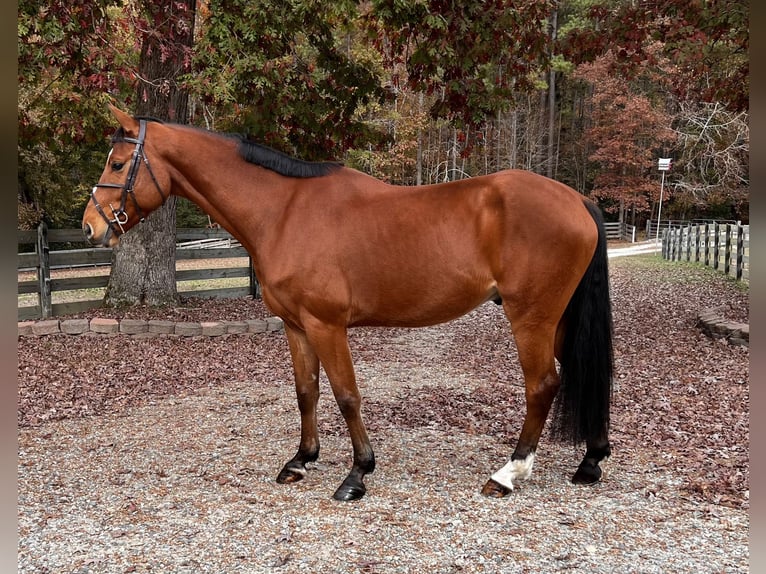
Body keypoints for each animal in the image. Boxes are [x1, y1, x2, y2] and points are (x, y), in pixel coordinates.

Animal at [81, 106, 616, 502]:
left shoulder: (326, 325)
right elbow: (307, 392)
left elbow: (346, 395)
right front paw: (301, 460)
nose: (91, 226)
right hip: (558, 319)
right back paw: (590, 461)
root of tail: (578, 200)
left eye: (117, 164)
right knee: (582, 373)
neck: (283, 210)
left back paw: (507, 474)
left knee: (542, 384)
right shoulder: (296, 326)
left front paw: (357, 474)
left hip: (531, 317)